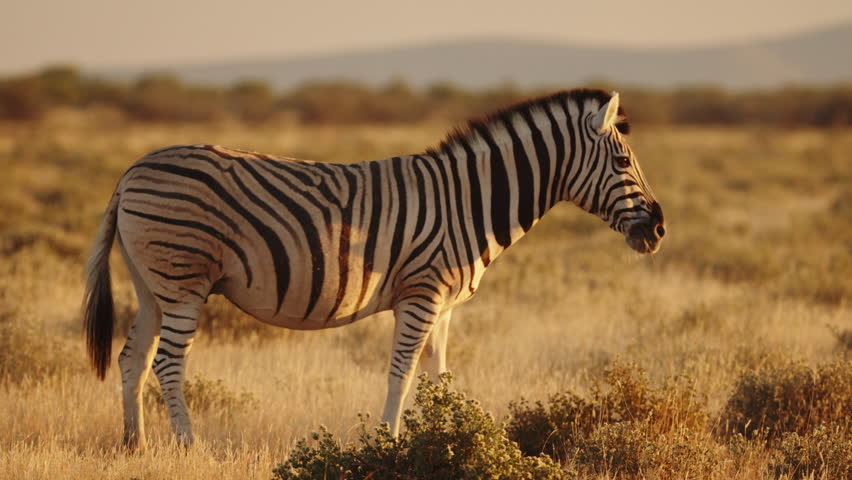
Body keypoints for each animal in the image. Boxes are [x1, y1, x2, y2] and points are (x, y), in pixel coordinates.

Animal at [81, 89, 664, 450]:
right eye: (622, 163)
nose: (658, 230)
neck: (468, 202)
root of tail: (130, 171)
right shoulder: (422, 294)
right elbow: (401, 377)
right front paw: (390, 443)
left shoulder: (445, 306)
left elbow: (439, 378)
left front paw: (449, 437)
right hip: (185, 279)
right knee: (168, 364)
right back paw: (188, 446)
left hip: (152, 284)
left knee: (133, 358)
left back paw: (135, 446)